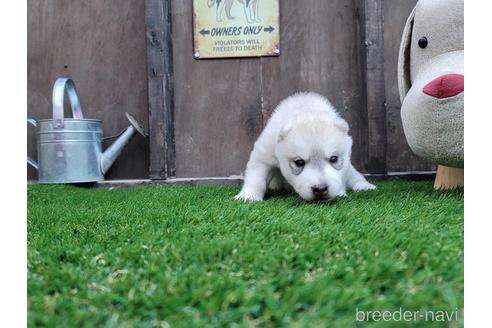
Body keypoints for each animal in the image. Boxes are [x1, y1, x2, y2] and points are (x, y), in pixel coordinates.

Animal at [236, 91, 374, 201]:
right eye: (299, 162)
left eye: (334, 158)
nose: (320, 189)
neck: (306, 108)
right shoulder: (264, 153)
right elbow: (256, 177)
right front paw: (248, 197)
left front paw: (340, 193)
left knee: (355, 176)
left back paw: (365, 186)